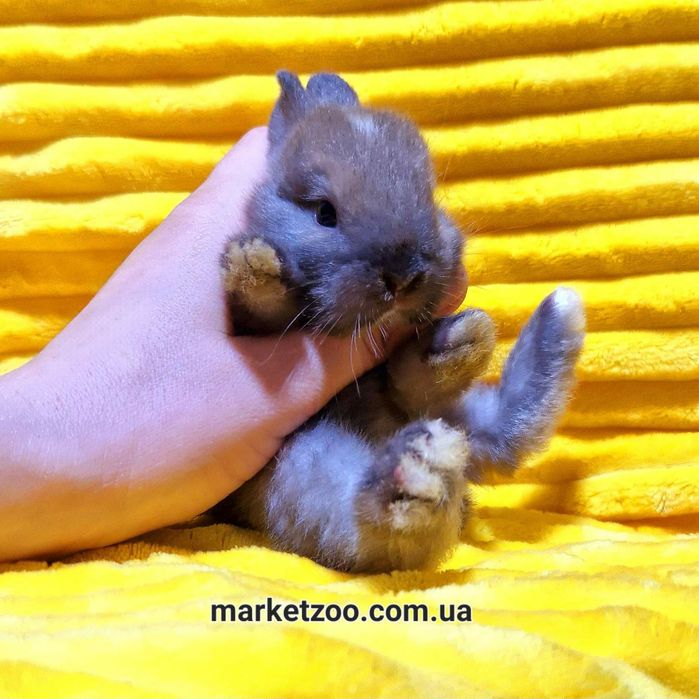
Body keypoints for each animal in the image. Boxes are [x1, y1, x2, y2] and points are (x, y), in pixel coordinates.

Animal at [210, 71, 585, 573]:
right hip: (300, 468)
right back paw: (420, 472)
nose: (404, 275)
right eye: (324, 212)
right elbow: (262, 305)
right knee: (376, 530)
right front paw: (256, 263)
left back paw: (471, 345)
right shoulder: (253, 325)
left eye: (427, 197)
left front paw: (465, 335)